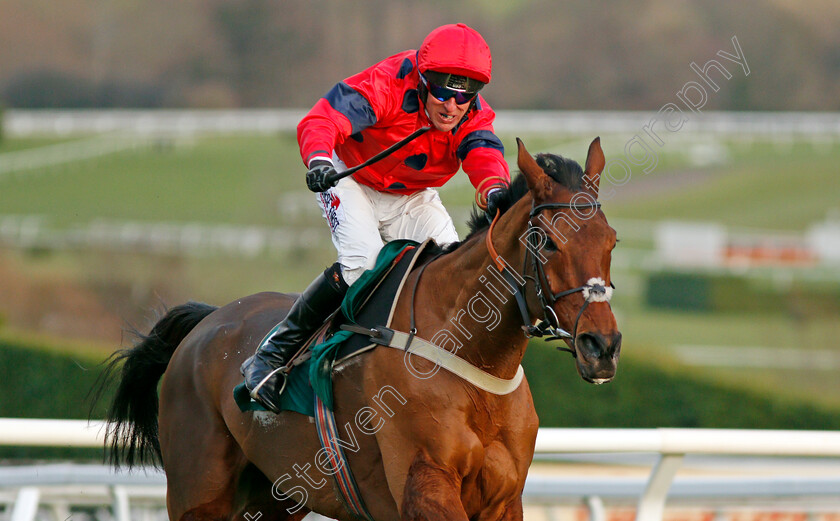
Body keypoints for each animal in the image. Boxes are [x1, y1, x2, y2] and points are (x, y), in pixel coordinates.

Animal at [98, 138, 620, 520]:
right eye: (546, 241)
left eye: (611, 240)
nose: (602, 345)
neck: (473, 360)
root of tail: (207, 321)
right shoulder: (424, 486)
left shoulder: (503, 499)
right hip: (198, 489)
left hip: (276, 494)